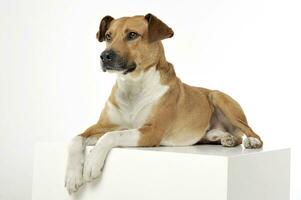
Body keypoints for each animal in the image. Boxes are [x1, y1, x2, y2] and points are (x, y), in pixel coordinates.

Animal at [64, 12, 262, 194]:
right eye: (108, 36)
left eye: (132, 35)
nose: (104, 56)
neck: (133, 86)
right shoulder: (102, 125)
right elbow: (75, 139)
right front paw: (73, 176)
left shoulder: (151, 132)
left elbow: (111, 136)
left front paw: (91, 163)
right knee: (229, 136)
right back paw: (226, 138)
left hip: (217, 97)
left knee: (250, 132)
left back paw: (252, 141)